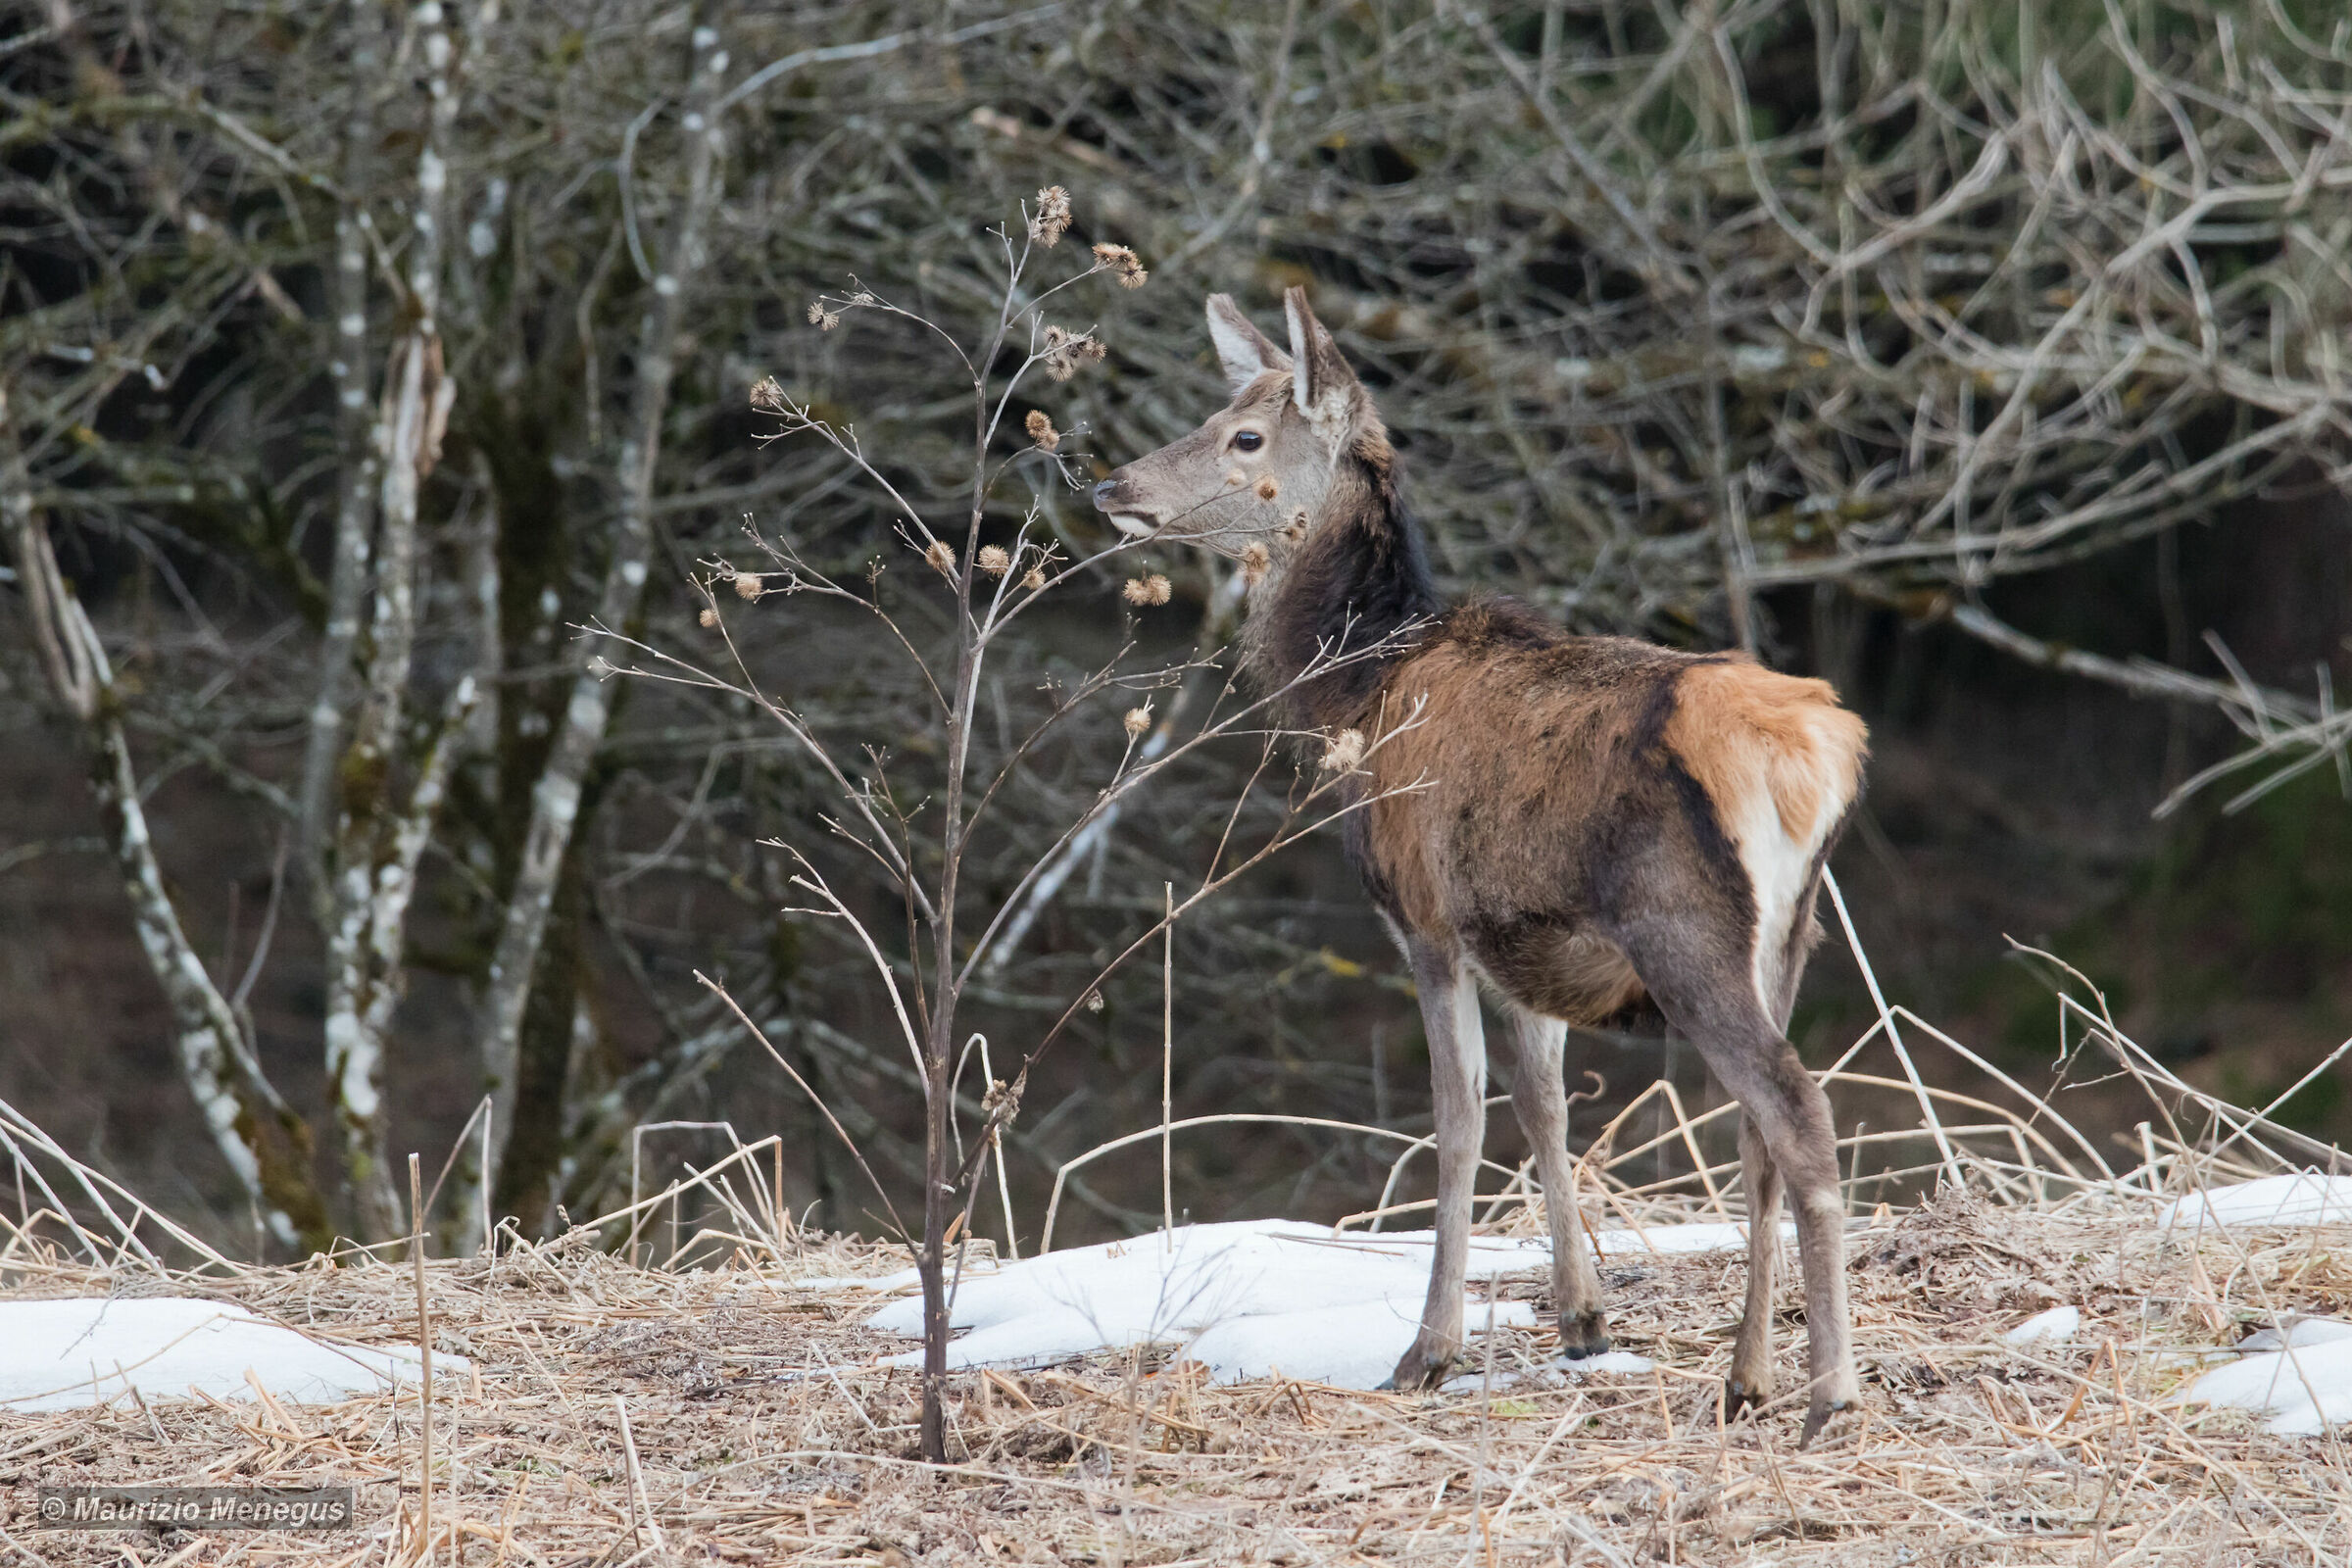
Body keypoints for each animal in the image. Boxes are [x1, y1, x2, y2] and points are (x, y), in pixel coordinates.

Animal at [1090, 288, 1870, 1441]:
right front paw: (1582, 1319)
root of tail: (1814, 754)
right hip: (1792, 936)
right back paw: (1745, 1377)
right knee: (1757, 1137)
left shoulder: (1425, 918)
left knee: (1800, 1114)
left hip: (1686, 929)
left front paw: (1430, 1350)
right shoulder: (1527, 948)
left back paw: (1829, 1393)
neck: (1359, 692)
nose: (1113, 486)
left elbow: (1456, 1121)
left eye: (1246, 436)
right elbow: (1546, 1106)